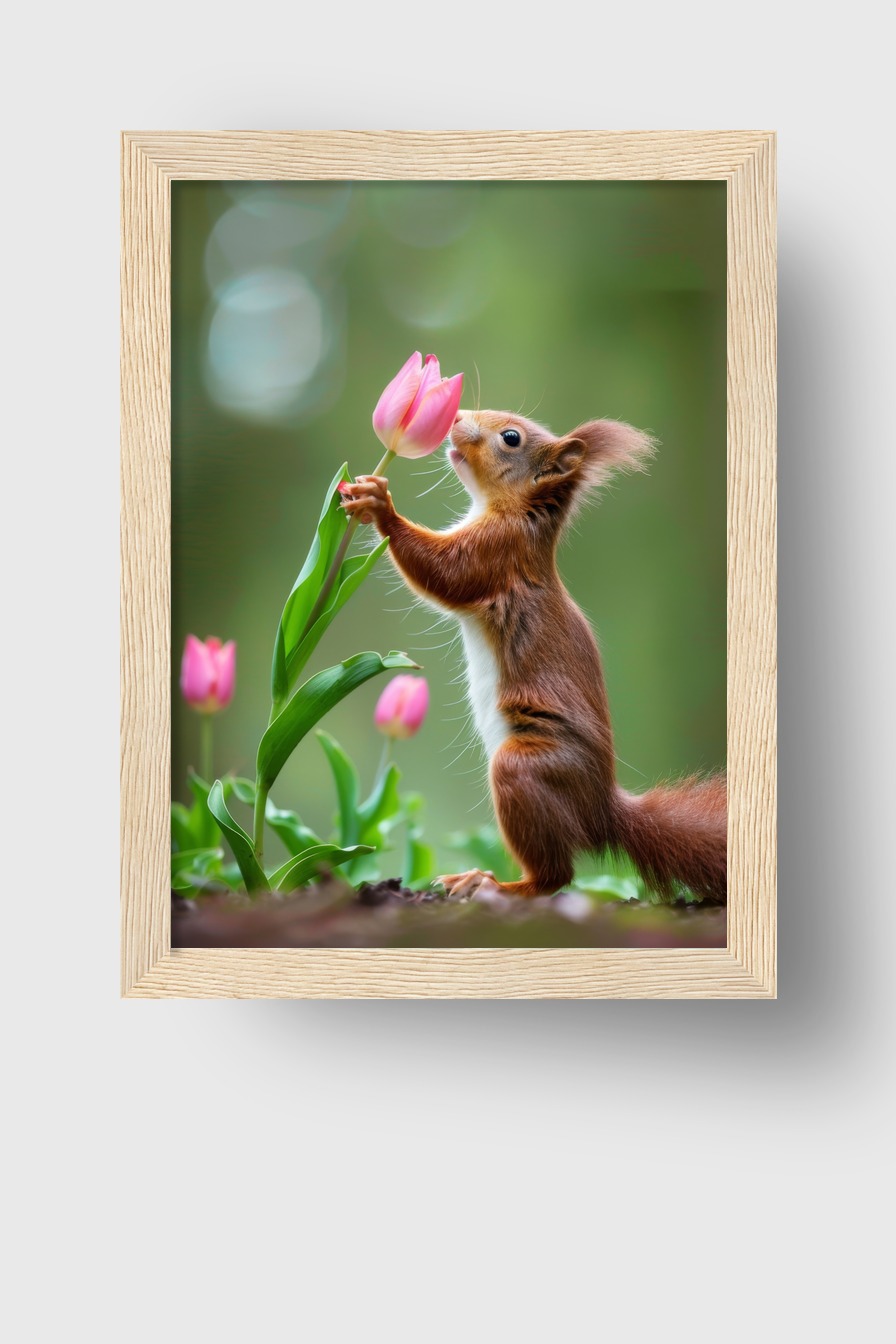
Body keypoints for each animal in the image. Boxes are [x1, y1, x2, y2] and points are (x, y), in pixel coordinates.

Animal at [340, 409, 727, 903]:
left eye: (511, 438)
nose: (458, 416)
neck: (516, 513)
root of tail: (601, 813)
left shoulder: (497, 552)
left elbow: (446, 571)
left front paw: (381, 506)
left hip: (525, 770)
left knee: (556, 877)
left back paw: (495, 885)